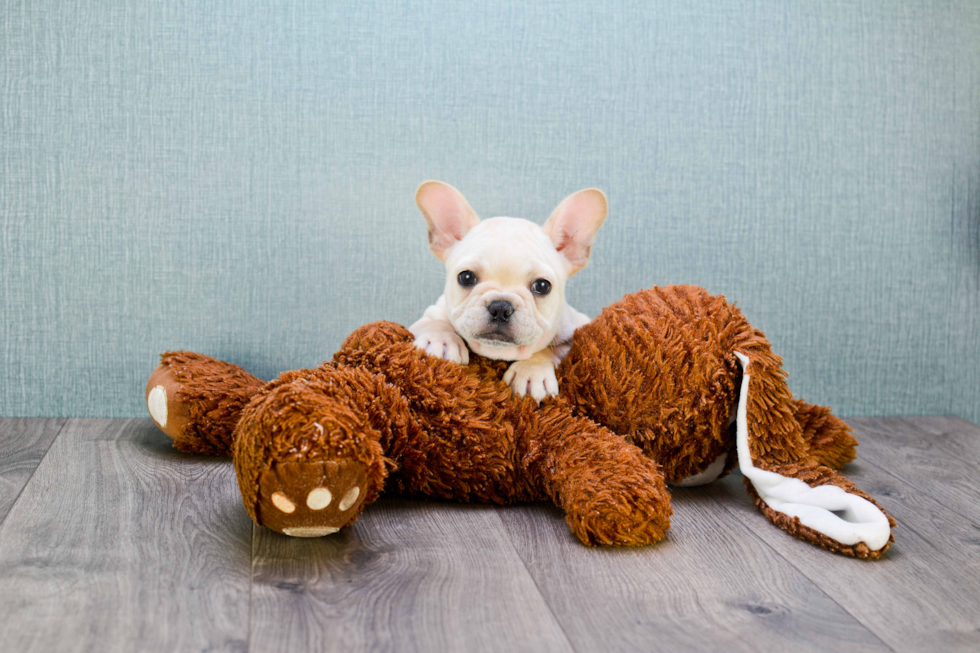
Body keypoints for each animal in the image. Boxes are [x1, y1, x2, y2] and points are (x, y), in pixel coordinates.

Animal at [410, 181, 608, 400]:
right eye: (466, 277)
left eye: (542, 286)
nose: (500, 307)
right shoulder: (428, 316)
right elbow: (435, 323)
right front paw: (441, 341)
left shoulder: (572, 336)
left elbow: (545, 350)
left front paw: (531, 372)